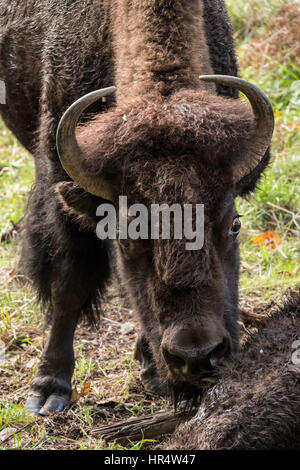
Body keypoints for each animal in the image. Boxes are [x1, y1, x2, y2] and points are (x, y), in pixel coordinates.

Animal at [0, 0, 274, 414]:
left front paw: (151, 370)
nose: (196, 356)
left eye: (234, 224)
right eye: (126, 237)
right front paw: (47, 390)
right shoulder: (60, 191)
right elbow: (69, 285)